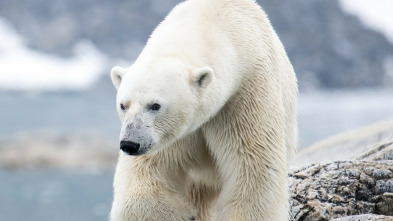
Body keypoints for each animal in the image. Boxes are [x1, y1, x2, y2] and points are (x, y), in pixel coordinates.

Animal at [108, 0, 296, 219]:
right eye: (123, 105)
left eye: (155, 105)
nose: (130, 144)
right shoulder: (171, 135)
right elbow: (145, 174)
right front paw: (182, 212)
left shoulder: (245, 93)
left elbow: (255, 167)